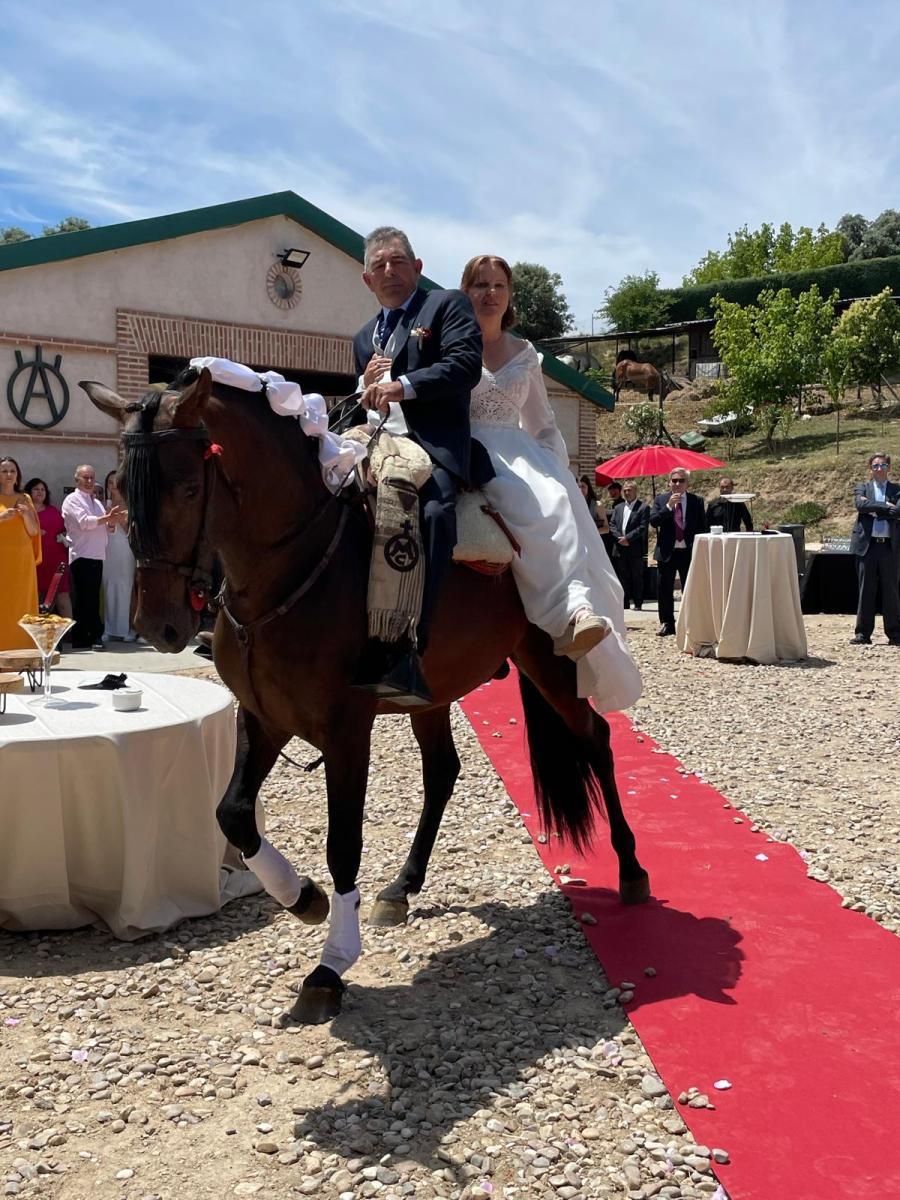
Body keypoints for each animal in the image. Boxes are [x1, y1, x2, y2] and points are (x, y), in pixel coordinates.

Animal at [82, 367, 650, 1024]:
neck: (293, 566)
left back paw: (632, 869)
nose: (159, 625)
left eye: (187, 486)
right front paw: (301, 897)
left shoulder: (346, 730)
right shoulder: (264, 716)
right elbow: (232, 814)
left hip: (550, 661)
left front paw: (330, 967)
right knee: (443, 772)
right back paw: (402, 887)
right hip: (433, 695)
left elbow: (343, 844)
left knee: (596, 739)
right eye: (122, 489)